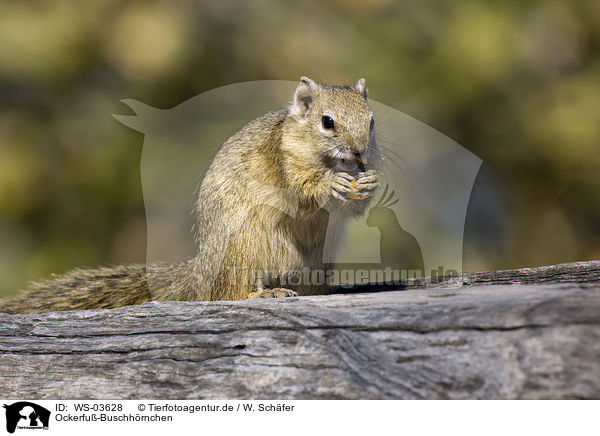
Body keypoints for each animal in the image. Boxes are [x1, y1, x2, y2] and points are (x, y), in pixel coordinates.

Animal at [0, 76, 382, 314]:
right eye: (327, 122)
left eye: (371, 120)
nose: (359, 151)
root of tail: (199, 273)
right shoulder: (281, 163)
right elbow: (300, 191)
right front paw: (329, 184)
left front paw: (370, 183)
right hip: (242, 249)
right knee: (227, 294)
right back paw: (263, 292)